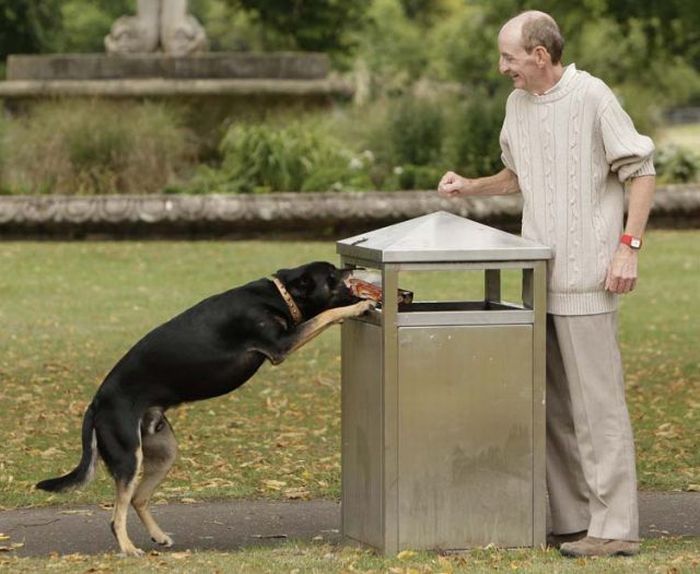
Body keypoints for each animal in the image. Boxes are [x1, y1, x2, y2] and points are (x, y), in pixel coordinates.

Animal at [35, 264, 374, 560]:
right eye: (332, 275)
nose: (353, 268)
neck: (280, 295)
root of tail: (96, 404)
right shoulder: (281, 345)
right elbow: (326, 315)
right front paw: (357, 308)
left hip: (163, 452)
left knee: (138, 498)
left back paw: (158, 536)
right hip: (129, 457)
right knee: (116, 515)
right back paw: (129, 549)